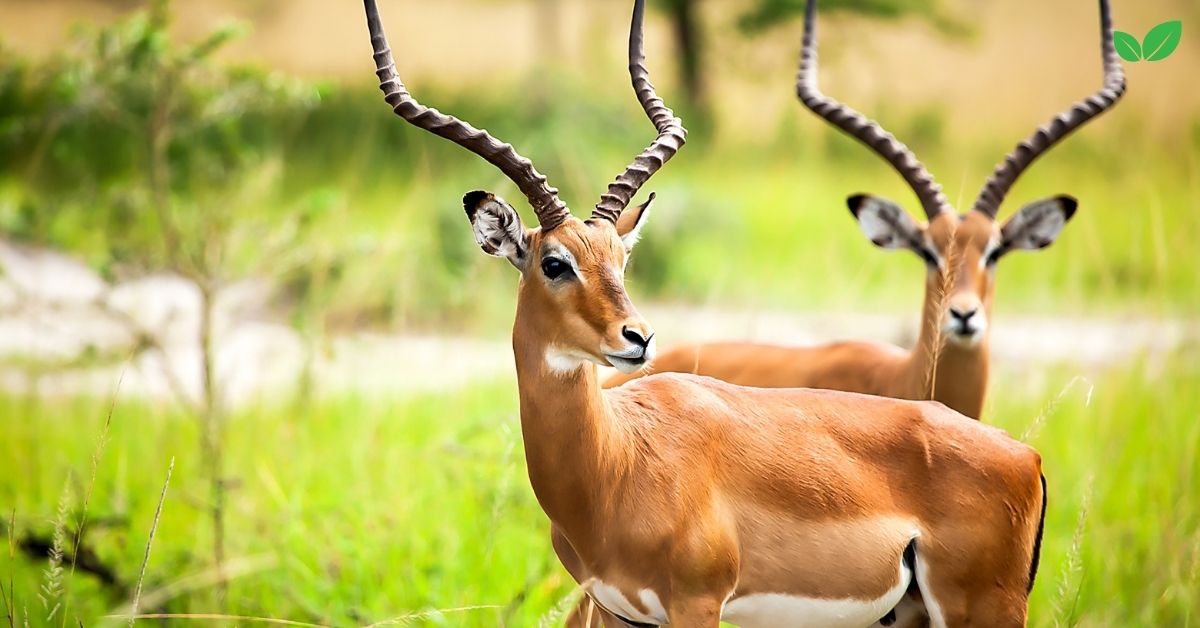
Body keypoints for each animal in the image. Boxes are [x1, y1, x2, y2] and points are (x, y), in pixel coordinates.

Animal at [367, 1, 1051, 628]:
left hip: (981, 610)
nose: (638, 337)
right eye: (555, 263)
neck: (618, 460)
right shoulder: (619, 609)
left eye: (621, 258)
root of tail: (1028, 458)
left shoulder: (697, 604)